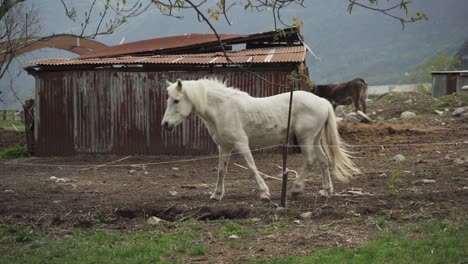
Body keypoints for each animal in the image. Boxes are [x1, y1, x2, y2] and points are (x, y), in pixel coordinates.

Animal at [161, 79, 358, 201]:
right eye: (168, 99)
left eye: (176, 100)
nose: (165, 124)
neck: (224, 108)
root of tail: (323, 102)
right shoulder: (224, 147)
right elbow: (221, 171)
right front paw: (217, 195)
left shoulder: (241, 143)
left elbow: (251, 167)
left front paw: (264, 192)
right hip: (314, 139)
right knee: (323, 161)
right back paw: (326, 191)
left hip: (305, 138)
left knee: (310, 160)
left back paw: (296, 188)